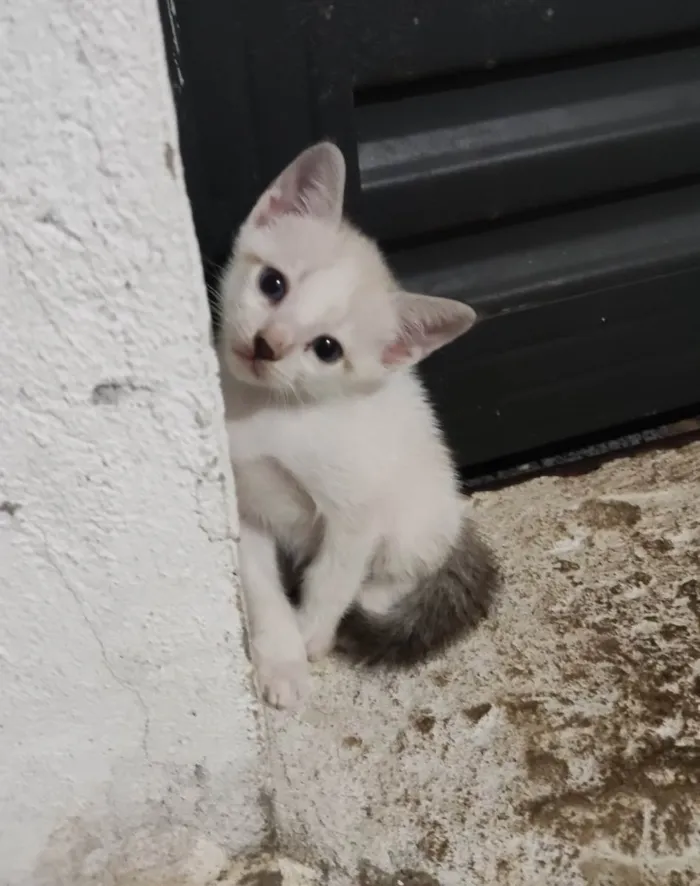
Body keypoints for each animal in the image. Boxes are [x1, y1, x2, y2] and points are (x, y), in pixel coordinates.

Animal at [217, 142, 498, 712]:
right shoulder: (247, 507)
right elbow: (260, 585)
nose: (267, 344)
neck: (266, 412)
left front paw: (309, 637)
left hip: (415, 516)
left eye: (327, 349)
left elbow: (331, 579)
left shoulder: (354, 514)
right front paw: (280, 657)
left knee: (404, 567)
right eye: (272, 283)